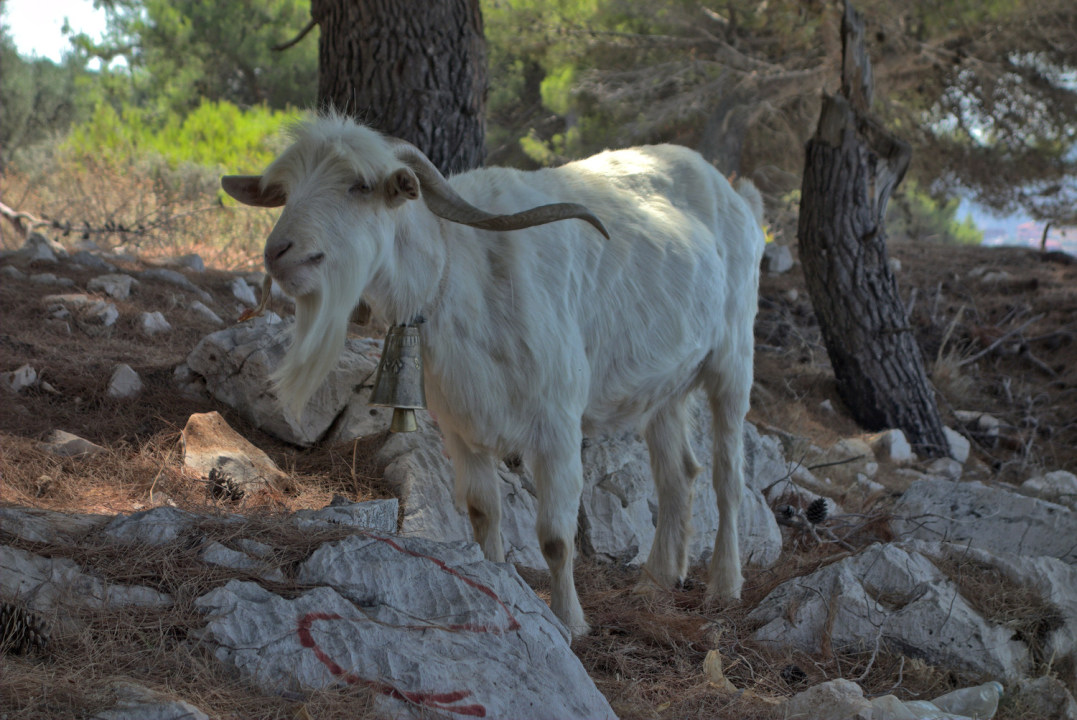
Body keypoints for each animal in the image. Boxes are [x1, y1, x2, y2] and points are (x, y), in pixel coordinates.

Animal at [225, 113, 766, 632]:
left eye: (358, 186)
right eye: (287, 189)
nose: (279, 252)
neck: (462, 271)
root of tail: (733, 194)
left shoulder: (558, 424)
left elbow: (555, 538)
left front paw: (570, 623)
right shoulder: (460, 426)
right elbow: (484, 512)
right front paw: (502, 589)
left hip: (733, 359)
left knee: (727, 476)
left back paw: (724, 585)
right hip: (664, 388)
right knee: (678, 473)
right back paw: (657, 581)